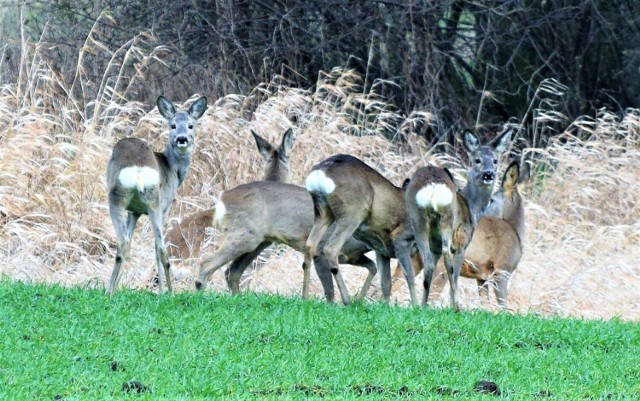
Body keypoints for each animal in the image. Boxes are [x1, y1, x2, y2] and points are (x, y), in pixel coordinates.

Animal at [107, 95, 208, 292]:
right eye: (173, 125)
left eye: (191, 125)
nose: (182, 139)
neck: (172, 168)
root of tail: (138, 169)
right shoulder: (165, 206)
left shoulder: (135, 211)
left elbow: (131, 242)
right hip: (145, 201)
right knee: (159, 249)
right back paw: (167, 292)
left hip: (128, 198)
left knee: (125, 244)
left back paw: (111, 290)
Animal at [304, 155, 420, 304]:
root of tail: (321, 172)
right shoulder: (402, 239)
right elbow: (409, 276)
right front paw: (417, 306)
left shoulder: (381, 249)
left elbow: (386, 282)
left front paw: (385, 305)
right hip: (352, 213)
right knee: (330, 248)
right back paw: (347, 301)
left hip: (322, 212)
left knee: (310, 245)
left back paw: (304, 297)